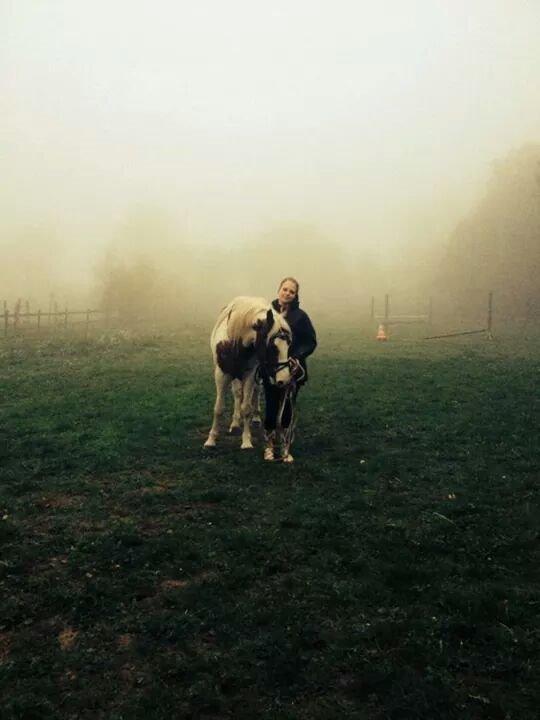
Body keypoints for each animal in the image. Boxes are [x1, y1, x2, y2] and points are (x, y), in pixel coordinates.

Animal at [205, 298, 294, 450]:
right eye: (272, 346)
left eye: (288, 344)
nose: (284, 379)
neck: (236, 341)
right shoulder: (221, 374)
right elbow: (219, 408)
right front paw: (211, 439)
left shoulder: (250, 374)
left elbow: (246, 408)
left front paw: (246, 441)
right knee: (237, 393)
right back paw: (235, 423)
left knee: (256, 391)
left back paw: (256, 417)